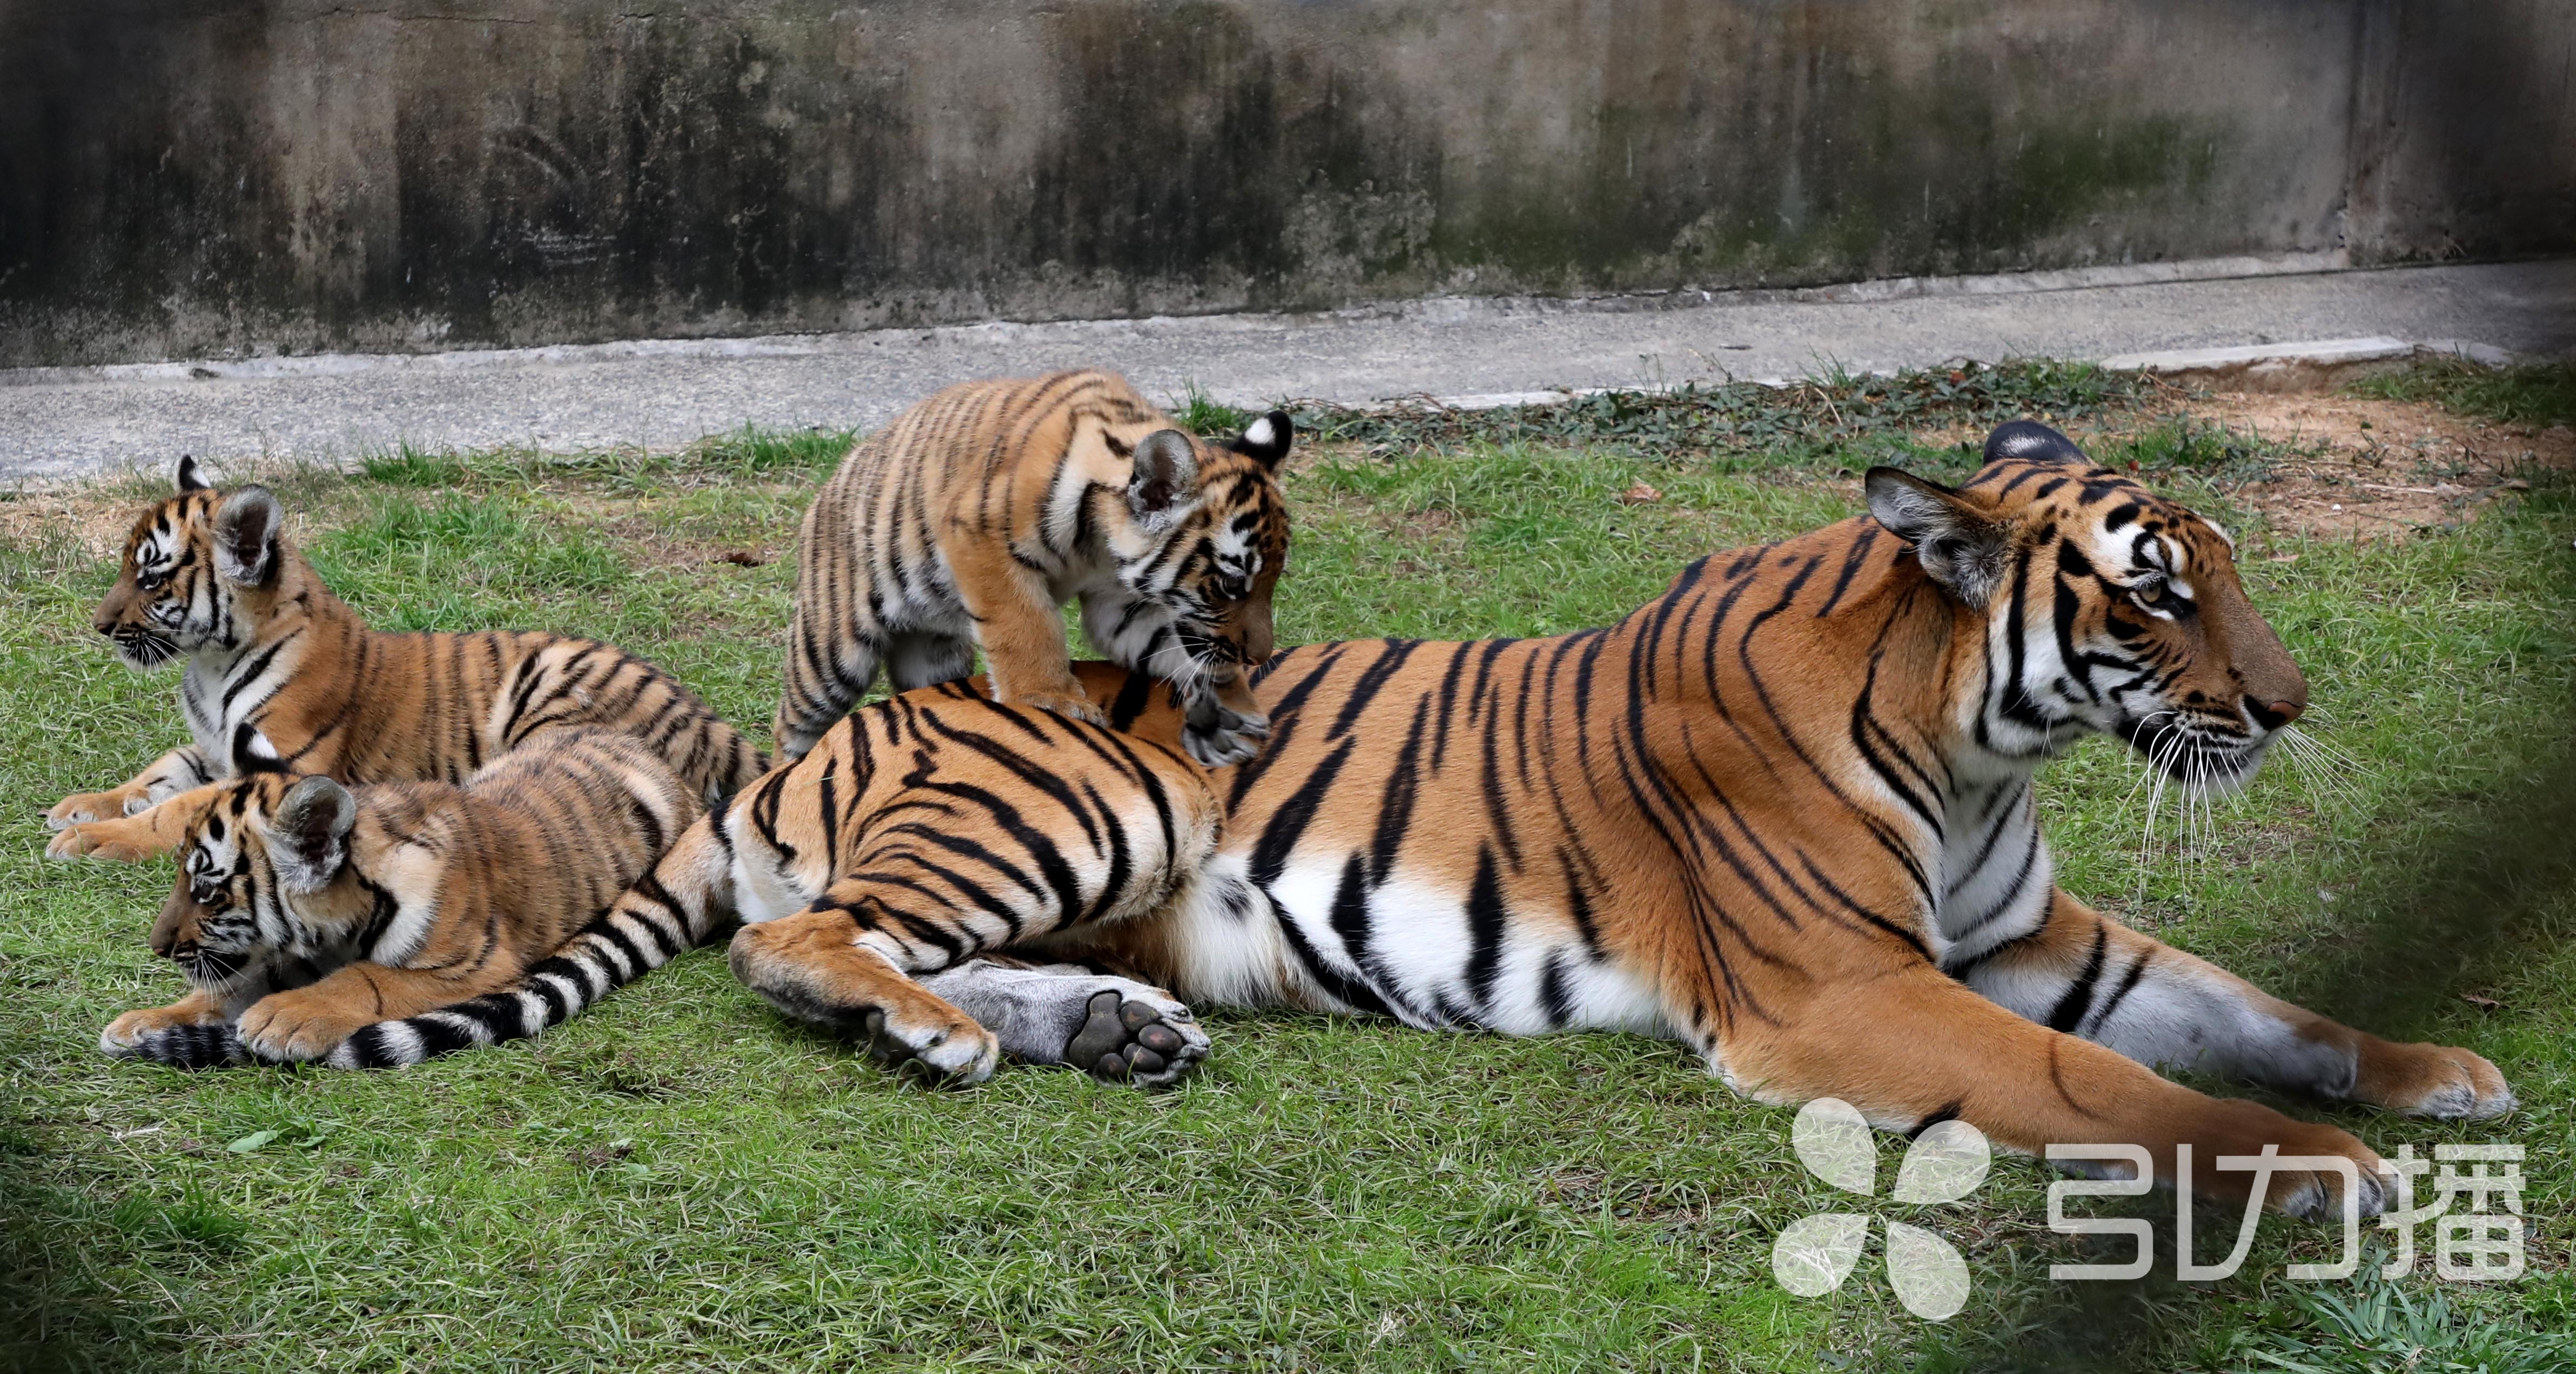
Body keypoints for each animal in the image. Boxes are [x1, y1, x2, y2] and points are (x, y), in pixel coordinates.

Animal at [43, 457, 762, 854]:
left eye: (151, 578)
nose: (100, 626)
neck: (213, 662)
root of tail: (708, 718)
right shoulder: (214, 746)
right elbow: (161, 772)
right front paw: (84, 804)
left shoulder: (285, 762)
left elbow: (180, 808)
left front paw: (89, 837)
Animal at [762, 371, 1288, 772]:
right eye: (1231, 584)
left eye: (1272, 581)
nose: (1261, 655)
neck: (1101, 548)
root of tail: (835, 475)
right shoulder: (981, 540)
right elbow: (1026, 628)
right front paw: (1050, 698)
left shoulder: (1118, 602)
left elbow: (1169, 642)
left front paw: (1234, 707)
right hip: (830, 655)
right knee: (791, 728)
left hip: (934, 652)